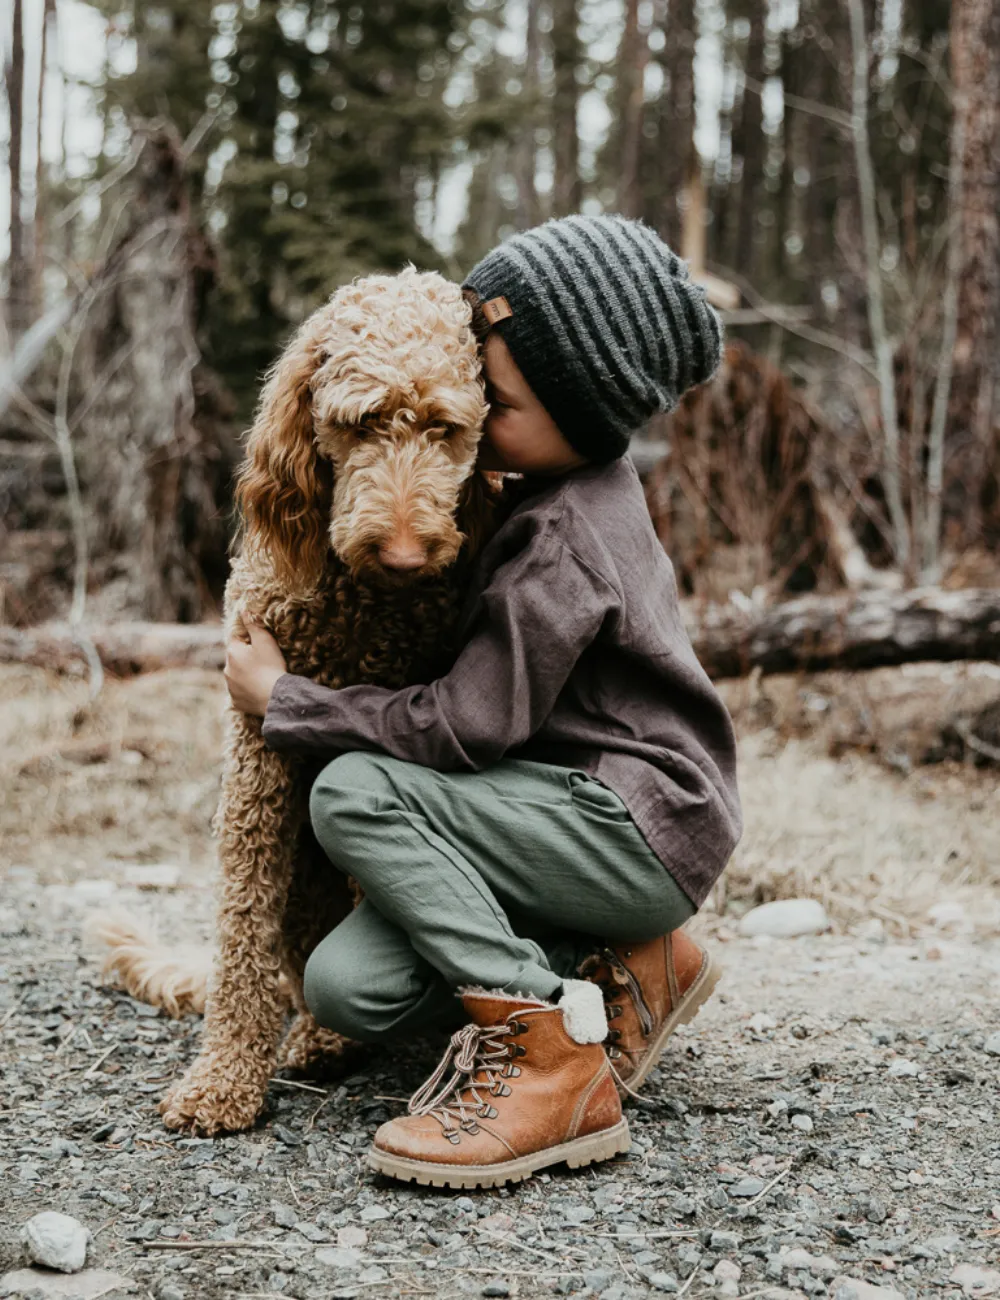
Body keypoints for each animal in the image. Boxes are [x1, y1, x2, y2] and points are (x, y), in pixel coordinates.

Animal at [89, 269, 494, 1133]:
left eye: (445, 428)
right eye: (360, 422)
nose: (404, 553)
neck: (358, 607)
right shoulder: (255, 755)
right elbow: (241, 925)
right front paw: (223, 1080)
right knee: (288, 965)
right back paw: (316, 1035)